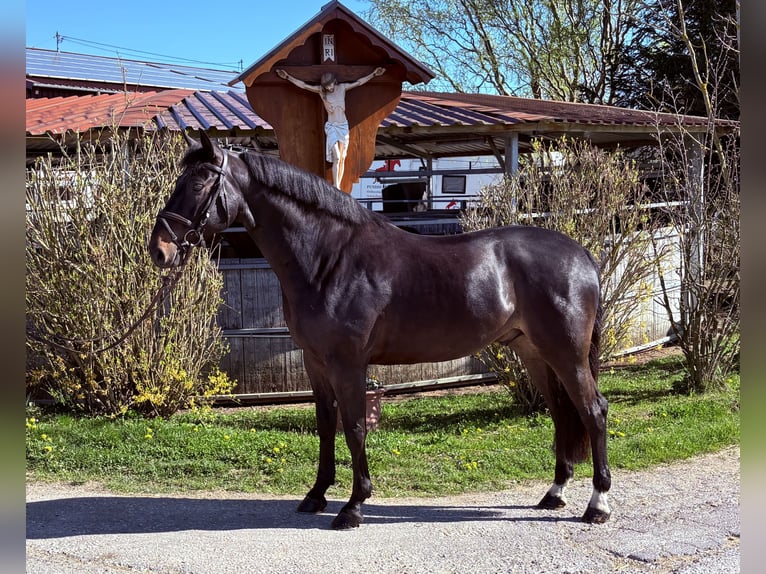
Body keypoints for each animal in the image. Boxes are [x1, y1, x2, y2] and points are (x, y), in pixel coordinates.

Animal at [149, 132, 612, 529]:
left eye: (200, 182)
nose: (160, 250)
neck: (329, 258)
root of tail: (582, 255)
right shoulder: (316, 363)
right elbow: (326, 424)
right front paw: (316, 495)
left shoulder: (348, 364)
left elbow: (354, 427)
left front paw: (354, 506)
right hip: (535, 353)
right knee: (561, 414)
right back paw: (554, 493)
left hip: (566, 353)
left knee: (593, 410)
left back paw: (598, 504)